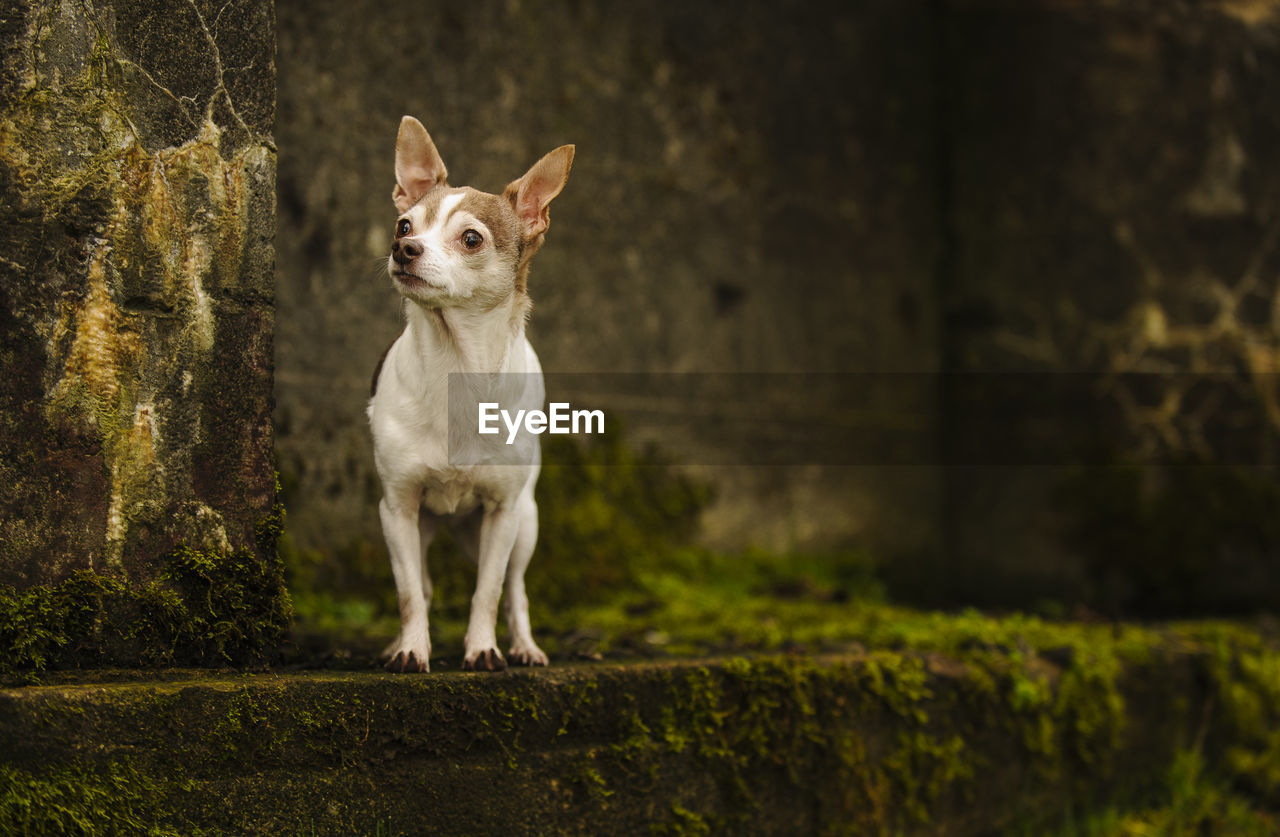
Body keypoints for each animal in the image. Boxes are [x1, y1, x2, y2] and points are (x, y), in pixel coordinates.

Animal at [368, 114, 573, 675]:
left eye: (471, 239)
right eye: (404, 226)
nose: (403, 249)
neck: (455, 363)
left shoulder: (502, 514)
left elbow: (488, 590)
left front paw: (483, 649)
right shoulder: (397, 508)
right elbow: (409, 593)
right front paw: (412, 649)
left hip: (524, 524)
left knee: (515, 589)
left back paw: (524, 647)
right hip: (422, 525)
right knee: (423, 584)